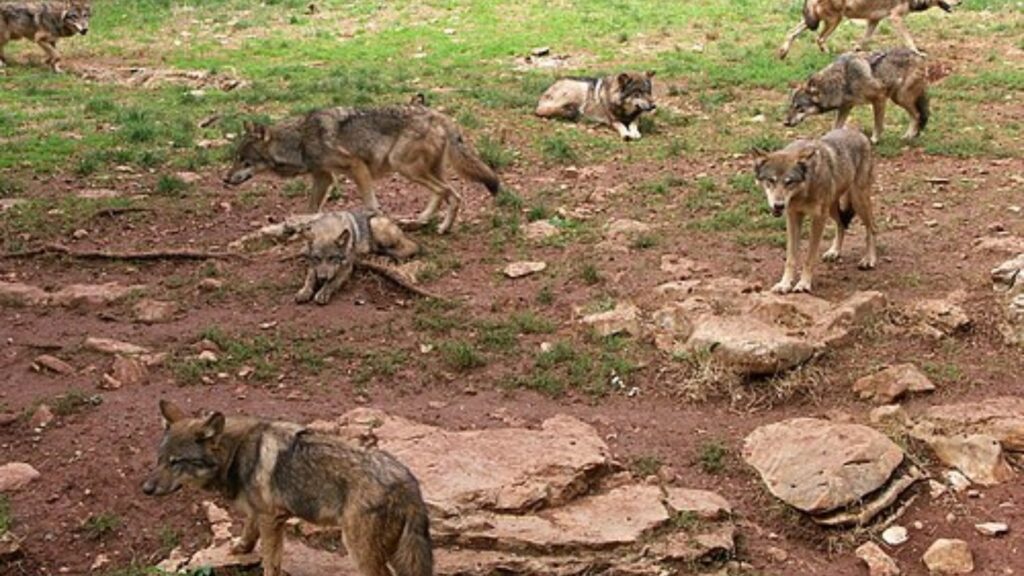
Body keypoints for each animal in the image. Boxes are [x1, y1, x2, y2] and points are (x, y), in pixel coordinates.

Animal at [142, 400, 434, 576]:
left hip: (358, 549)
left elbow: (271, 561)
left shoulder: (272, 518)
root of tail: (407, 482)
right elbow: (248, 529)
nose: (145, 488)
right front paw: (241, 548)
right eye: (159, 460)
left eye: (176, 462)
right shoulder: (260, 512)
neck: (236, 452)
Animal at [224, 105, 500, 234]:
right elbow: (311, 209)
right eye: (235, 158)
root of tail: (438, 114)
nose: (225, 180)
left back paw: (442, 228)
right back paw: (420, 220)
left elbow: (370, 204)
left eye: (243, 160)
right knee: (445, 193)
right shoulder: (324, 177)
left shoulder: (356, 167)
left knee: (450, 193)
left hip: (405, 167)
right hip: (424, 170)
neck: (299, 141)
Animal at [754, 128, 878, 294]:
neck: (802, 193)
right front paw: (784, 284)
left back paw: (869, 259)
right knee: (841, 224)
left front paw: (803, 284)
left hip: (858, 201)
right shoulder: (793, 216)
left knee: (872, 227)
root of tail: (857, 131)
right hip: (831, 209)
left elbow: (809, 257)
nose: (778, 205)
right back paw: (834, 252)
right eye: (771, 181)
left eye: (789, 182)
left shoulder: (818, 218)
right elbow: (791, 258)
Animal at [778, 0, 960, 59]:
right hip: (835, 20)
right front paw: (918, 53)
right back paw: (828, 55)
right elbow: (909, 40)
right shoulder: (896, 18)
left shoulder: (874, 21)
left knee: (791, 32)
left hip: (813, 20)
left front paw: (858, 52)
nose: (960, 2)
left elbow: (865, 40)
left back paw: (783, 53)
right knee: (819, 39)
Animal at [785, 48, 930, 143]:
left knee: (917, 115)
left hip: (900, 98)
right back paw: (913, 135)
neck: (842, 79)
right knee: (918, 115)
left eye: (799, 107)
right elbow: (835, 126)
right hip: (897, 98)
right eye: (791, 106)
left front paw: (874, 140)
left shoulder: (879, 98)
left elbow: (878, 124)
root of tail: (921, 57)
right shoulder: (845, 107)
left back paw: (909, 136)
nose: (785, 123)